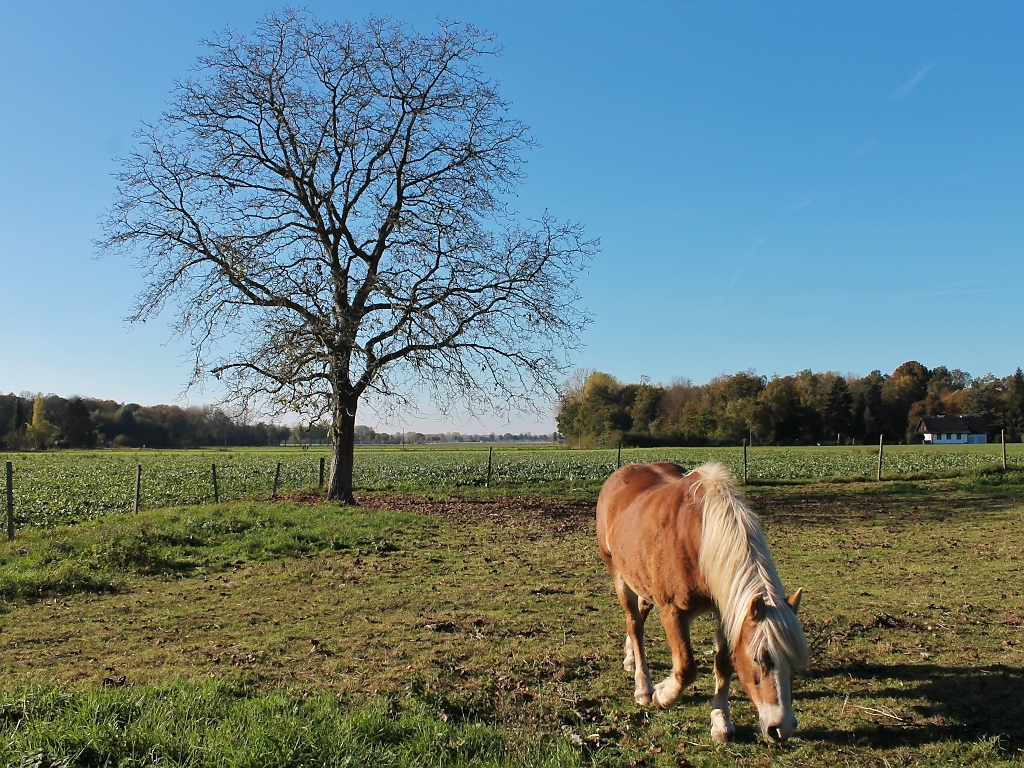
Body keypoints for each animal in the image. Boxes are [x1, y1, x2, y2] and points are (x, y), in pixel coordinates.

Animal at [598, 462, 806, 745]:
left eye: (792, 661)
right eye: (758, 659)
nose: (782, 728)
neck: (701, 539)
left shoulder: (727, 611)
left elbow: (724, 664)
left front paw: (720, 722)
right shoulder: (673, 611)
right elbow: (686, 668)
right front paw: (662, 696)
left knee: (640, 615)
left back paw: (630, 658)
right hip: (618, 573)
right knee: (634, 624)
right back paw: (643, 688)